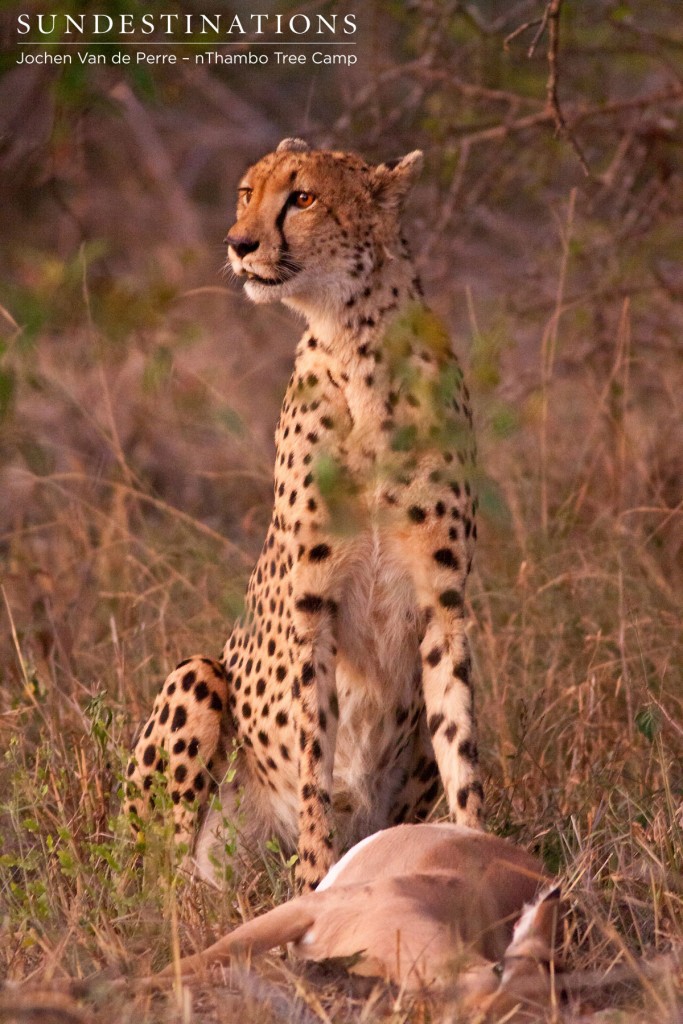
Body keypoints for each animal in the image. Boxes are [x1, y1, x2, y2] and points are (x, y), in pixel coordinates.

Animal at [126, 136, 481, 888]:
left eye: (303, 198)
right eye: (246, 193)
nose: (238, 242)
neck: (359, 348)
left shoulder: (444, 604)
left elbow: (461, 753)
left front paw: (482, 855)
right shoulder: (311, 607)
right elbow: (314, 763)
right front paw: (315, 880)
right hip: (196, 678)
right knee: (157, 879)